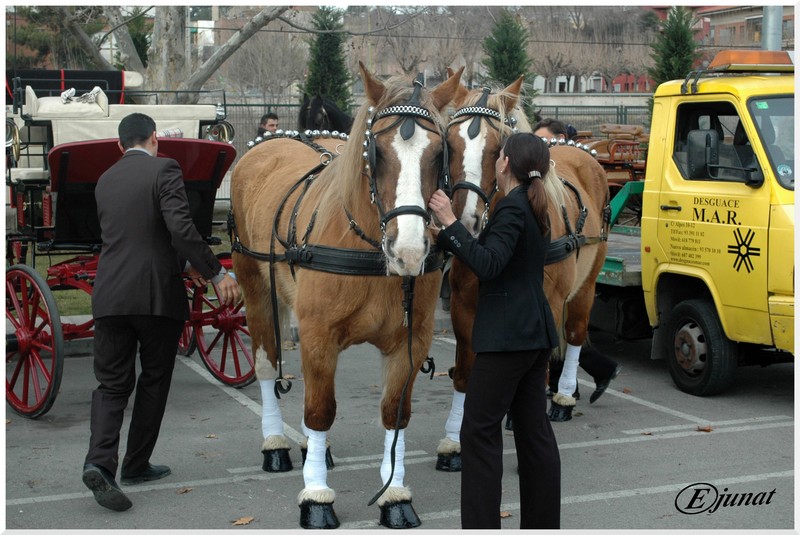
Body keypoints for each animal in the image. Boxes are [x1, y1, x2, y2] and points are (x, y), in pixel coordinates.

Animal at [230, 62, 462, 529]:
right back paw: (276, 443)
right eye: (377, 152)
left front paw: (394, 494)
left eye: (439, 152)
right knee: (265, 363)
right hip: (256, 288)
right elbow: (320, 410)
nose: (409, 252)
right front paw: (316, 496)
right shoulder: (319, 336)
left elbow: (394, 412)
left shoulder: (410, 341)